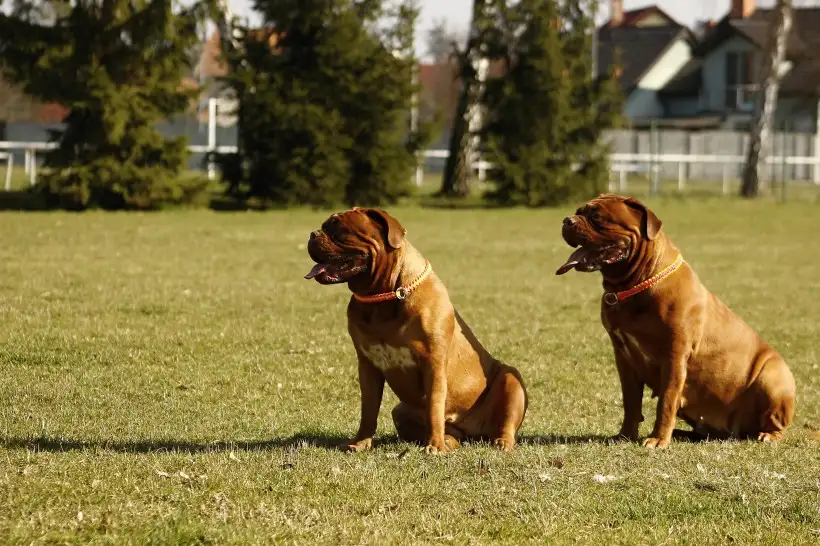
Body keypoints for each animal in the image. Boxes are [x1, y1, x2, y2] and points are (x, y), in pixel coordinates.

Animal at [304, 207, 528, 450]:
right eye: (324, 226)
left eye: (339, 230)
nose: (313, 234)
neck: (384, 296)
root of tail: (473, 432)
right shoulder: (368, 365)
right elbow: (368, 411)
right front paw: (360, 443)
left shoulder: (433, 362)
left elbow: (434, 406)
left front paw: (435, 446)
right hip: (400, 411)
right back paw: (448, 440)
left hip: (511, 379)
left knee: (506, 423)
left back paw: (500, 441)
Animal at [556, 194, 796, 446]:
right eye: (578, 212)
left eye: (597, 216)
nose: (567, 220)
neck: (636, 283)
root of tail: (735, 432)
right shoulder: (624, 359)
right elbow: (631, 403)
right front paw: (625, 435)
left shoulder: (674, 356)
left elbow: (666, 402)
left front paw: (658, 440)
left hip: (772, 377)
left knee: (776, 424)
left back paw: (767, 435)